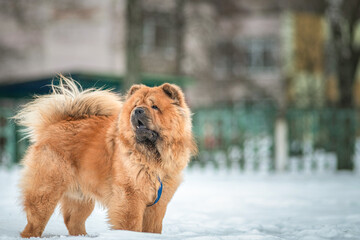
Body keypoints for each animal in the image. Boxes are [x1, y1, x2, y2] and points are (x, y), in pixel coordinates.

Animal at [15, 76, 197, 237]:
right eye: (136, 105)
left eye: (154, 107)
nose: (137, 110)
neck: (153, 157)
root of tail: (55, 124)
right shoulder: (130, 198)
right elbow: (131, 225)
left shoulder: (157, 204)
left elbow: (153, 229)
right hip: (46, 190)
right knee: (34, 222)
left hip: (81, 198)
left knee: (73, 221)